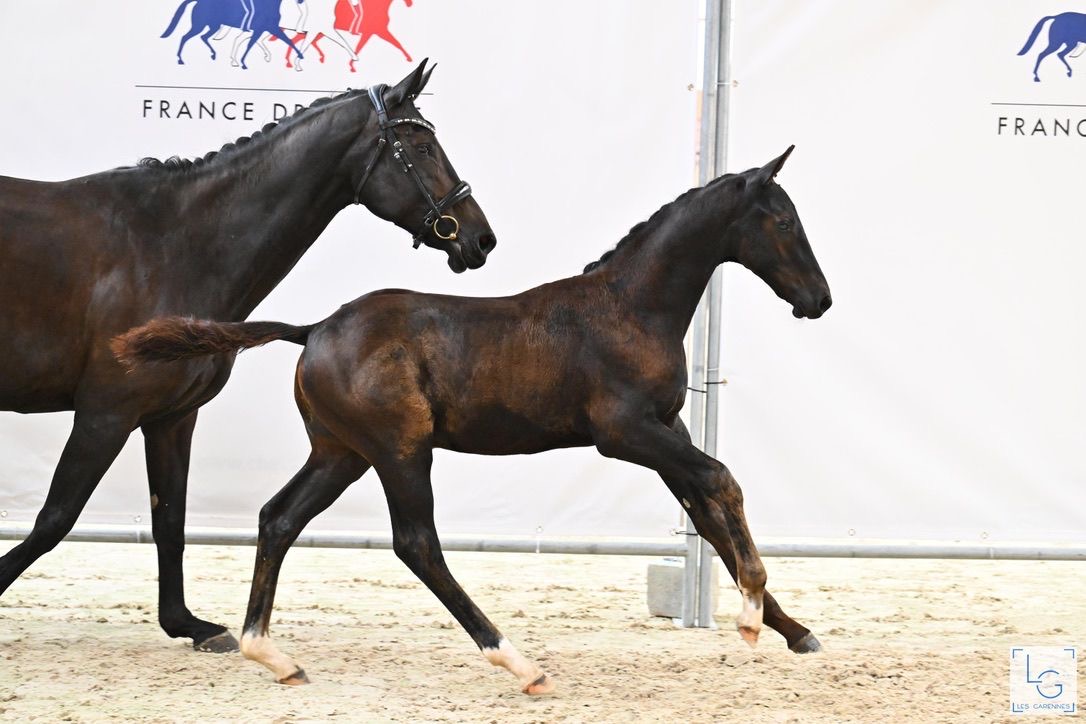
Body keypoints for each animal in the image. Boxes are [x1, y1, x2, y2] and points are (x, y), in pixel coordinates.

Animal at [0, 60, 496, 654]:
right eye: (420, 146)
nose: (481, 239)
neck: (169, 245)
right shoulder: (105, 413)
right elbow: (55, 517)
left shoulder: (170, 417)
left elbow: (171, 521)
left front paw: (187, 624)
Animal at [113, 146, 830, 694]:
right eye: (785, 221)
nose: (819, 300)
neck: (631, 306)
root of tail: (313, 329)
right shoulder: (626, 435)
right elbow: (722, 481)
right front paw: (750, 614)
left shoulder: (667, 430)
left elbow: (706, 512)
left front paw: (793, 631)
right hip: (400, 450)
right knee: (416, 543)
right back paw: (518, 662)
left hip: (342, 453)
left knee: (279, 518)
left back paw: (272, 654)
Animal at [162, 0, 306, 69]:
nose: (301, 1)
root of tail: (199, 2)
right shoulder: (265, 29)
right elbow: (250, 45)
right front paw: (242, 62)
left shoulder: (269, 29)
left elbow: (287, 40)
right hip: (200, 25)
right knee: (185, 37)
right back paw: (180, 59)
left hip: (213, 25)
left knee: (203, 37)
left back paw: (213, 54)